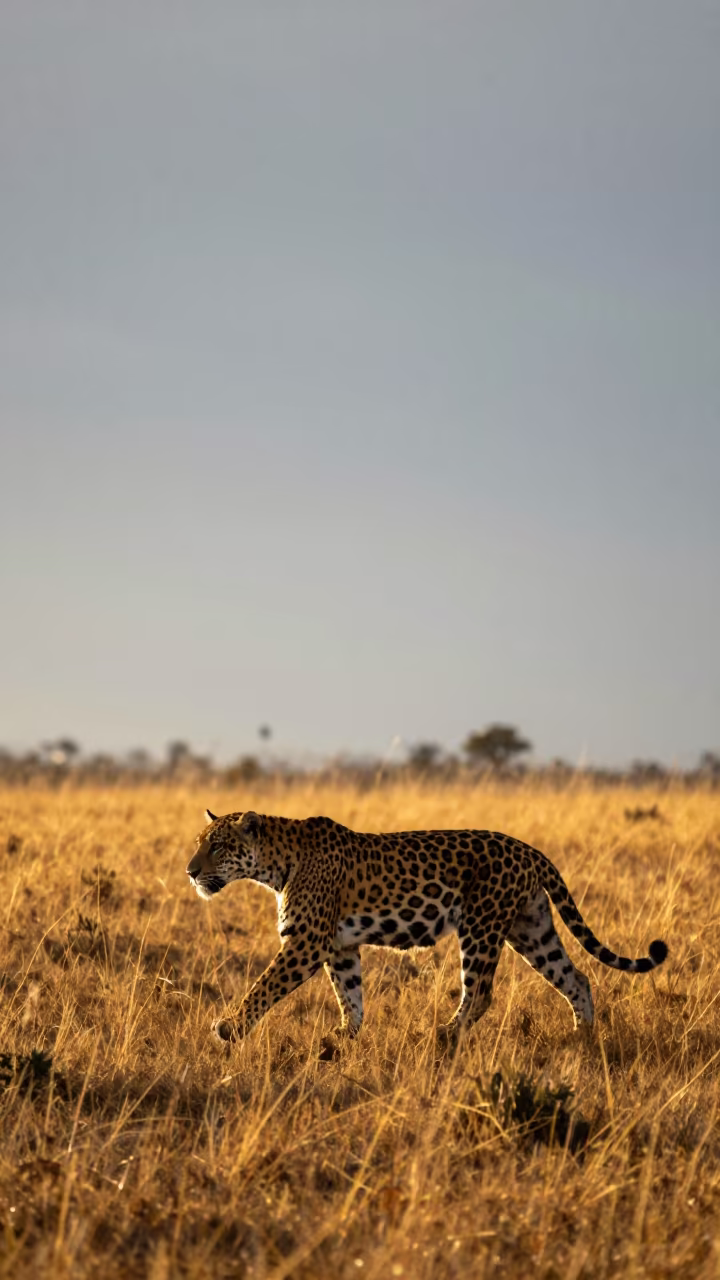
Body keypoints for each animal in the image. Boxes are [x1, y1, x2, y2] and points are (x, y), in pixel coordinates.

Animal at [186, 809, 667, 1045]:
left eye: (218, 846)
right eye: (199, 844)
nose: (190, 872)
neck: (275, 865)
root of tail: (529, 849)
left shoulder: (305, 943)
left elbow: (263, 987)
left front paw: (229, 1028)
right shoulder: (339, 947)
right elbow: (350, 995)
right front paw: (342, 1040)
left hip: (481, 926)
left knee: (481, 993)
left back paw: (444, 1035)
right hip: (531, 929)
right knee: (576, 977)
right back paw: (580, 1040)